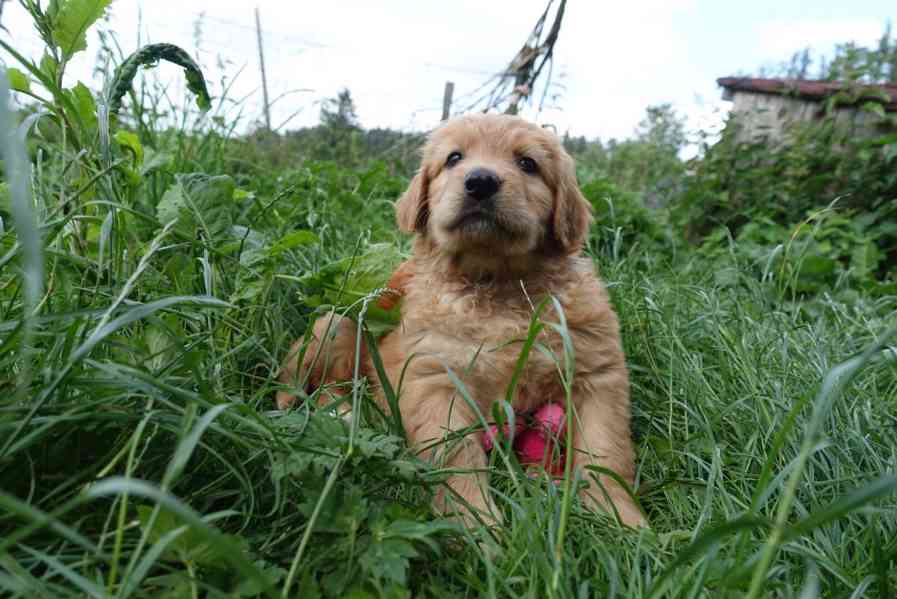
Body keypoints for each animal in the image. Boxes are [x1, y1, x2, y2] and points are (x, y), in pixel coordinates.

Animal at [278, 115, 644, 528]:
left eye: (528, 163)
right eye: (454, 158)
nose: (480, 181)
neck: (497, 285)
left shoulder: (597, 375)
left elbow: (605, 453)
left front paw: (622, 520)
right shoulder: (435, 378)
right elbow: (456, 458)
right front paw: (476, 525)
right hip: (336, 324)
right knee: (304, 381)